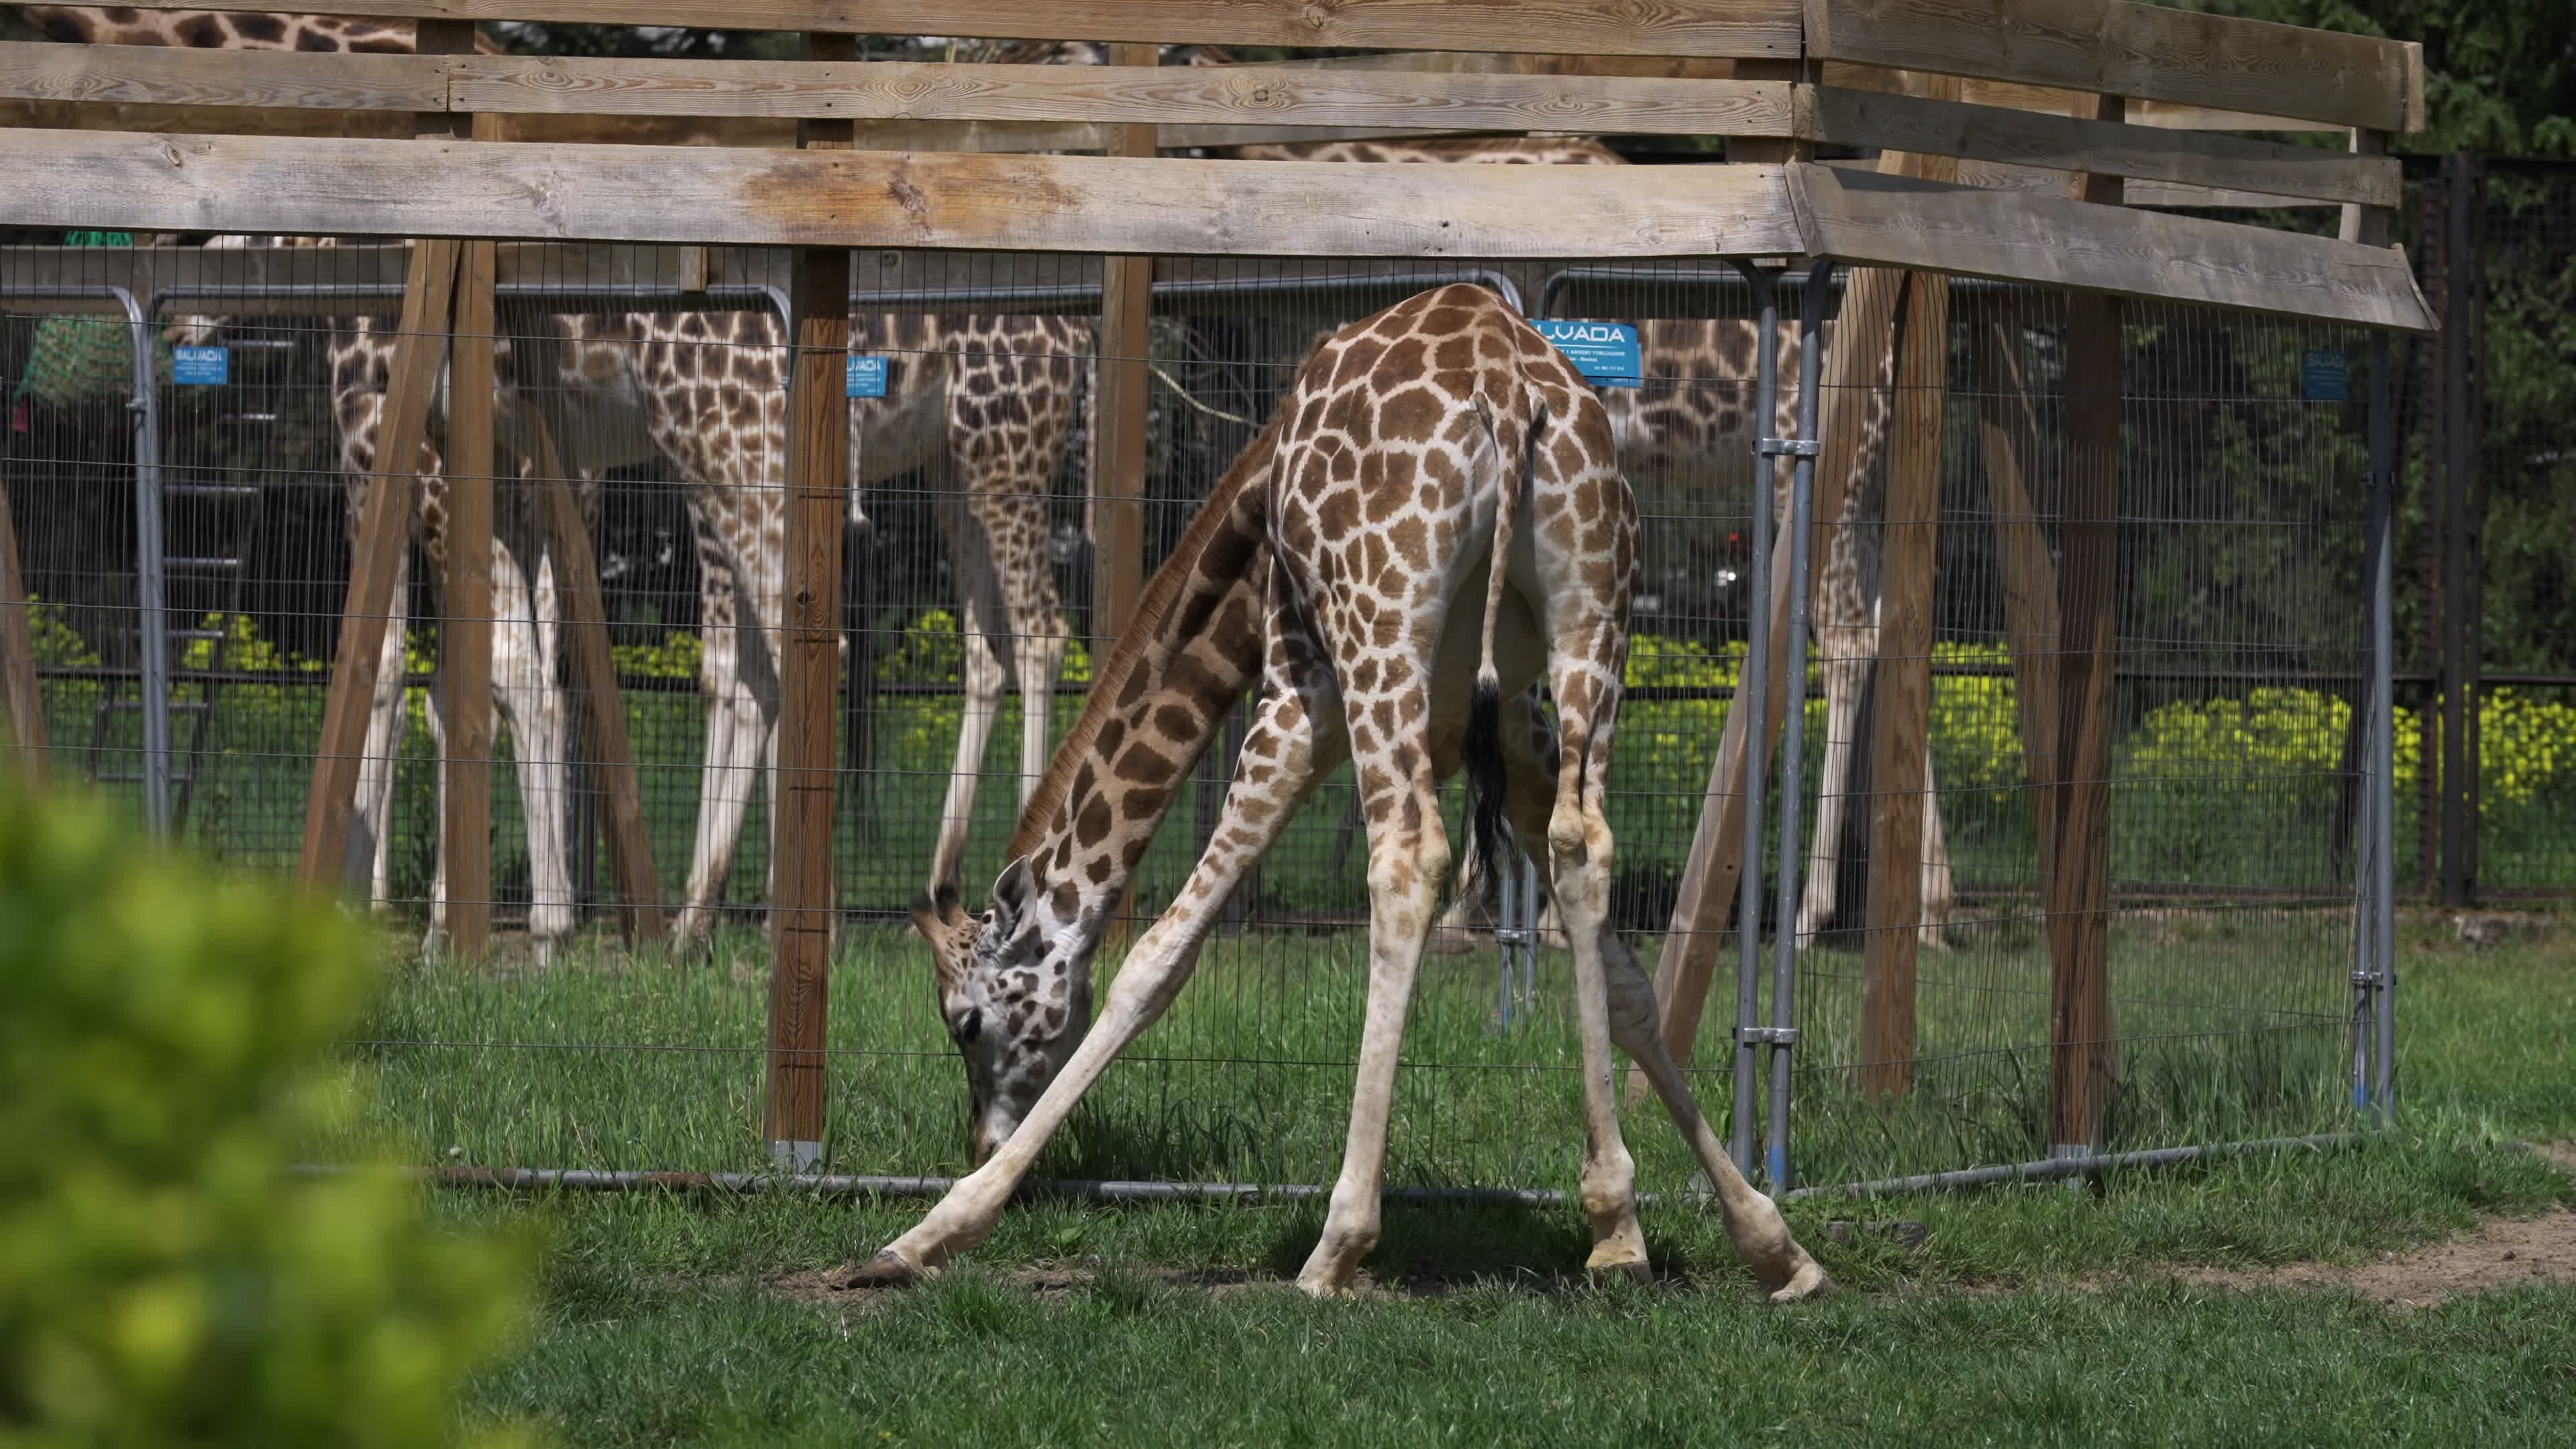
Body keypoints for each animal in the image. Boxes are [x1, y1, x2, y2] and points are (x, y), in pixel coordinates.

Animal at [844, 285, 1830, 1301]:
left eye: (966, 1024)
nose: (978, 1138)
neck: (1240, 574)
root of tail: (1509, 389)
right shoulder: (1521, 736)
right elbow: (1628, 980)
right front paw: (1746, 1235)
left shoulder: (1297, 696)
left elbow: (1156, 958)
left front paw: (932, 1230)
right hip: (1595, 619)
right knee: (1587, 847)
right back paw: (1622, 1235)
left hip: (1377, 636)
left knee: (1407, 864)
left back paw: (1338, 1243)